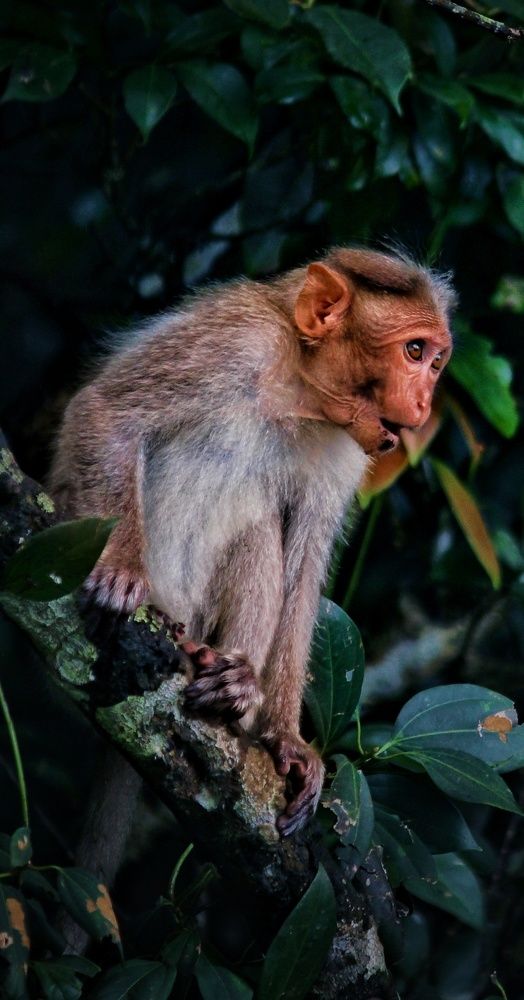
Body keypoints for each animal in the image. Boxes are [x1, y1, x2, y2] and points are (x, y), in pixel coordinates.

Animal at [50, 246, 455, 837]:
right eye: (415, 351)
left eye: (435, 362)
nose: (424, 405)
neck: (299, 388)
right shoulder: (235, 339)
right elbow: (107, 413)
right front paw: (121, 566)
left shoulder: (344, 448)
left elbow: (304, 565)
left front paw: (284, 736)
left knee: (259, 532)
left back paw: (234, 686)